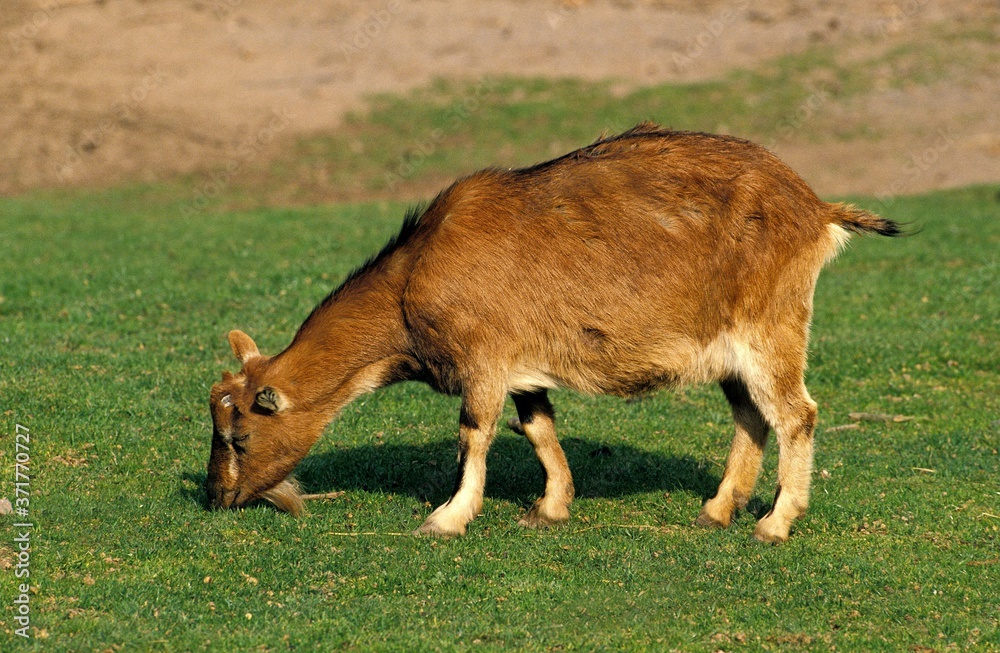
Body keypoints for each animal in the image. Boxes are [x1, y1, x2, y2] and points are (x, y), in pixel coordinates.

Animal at [205, 123, 900, 543]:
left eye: (240, 436)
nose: (216, 495)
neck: (414, 274)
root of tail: (816, 209)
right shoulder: (522, 368)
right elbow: (538, 427)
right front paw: (552, 506)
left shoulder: (484, 359)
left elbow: (475, 433)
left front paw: (448, 518)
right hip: (729, 351)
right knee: (751, 416)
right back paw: (717, 510)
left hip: (770, 329)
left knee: (796, 414)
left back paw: (775, 522)